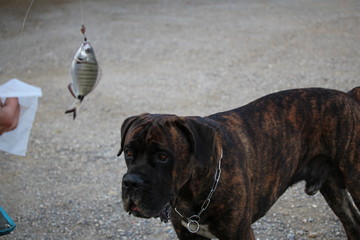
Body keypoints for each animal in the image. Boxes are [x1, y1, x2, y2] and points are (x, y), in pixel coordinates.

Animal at [118, 87, 360, 239]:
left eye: (163, 156)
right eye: (128, 153)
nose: (131, 182)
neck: (192, 191)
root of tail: (349, 97)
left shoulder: (240, 233)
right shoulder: (188, 235)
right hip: (333, 189)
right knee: (353, 224)